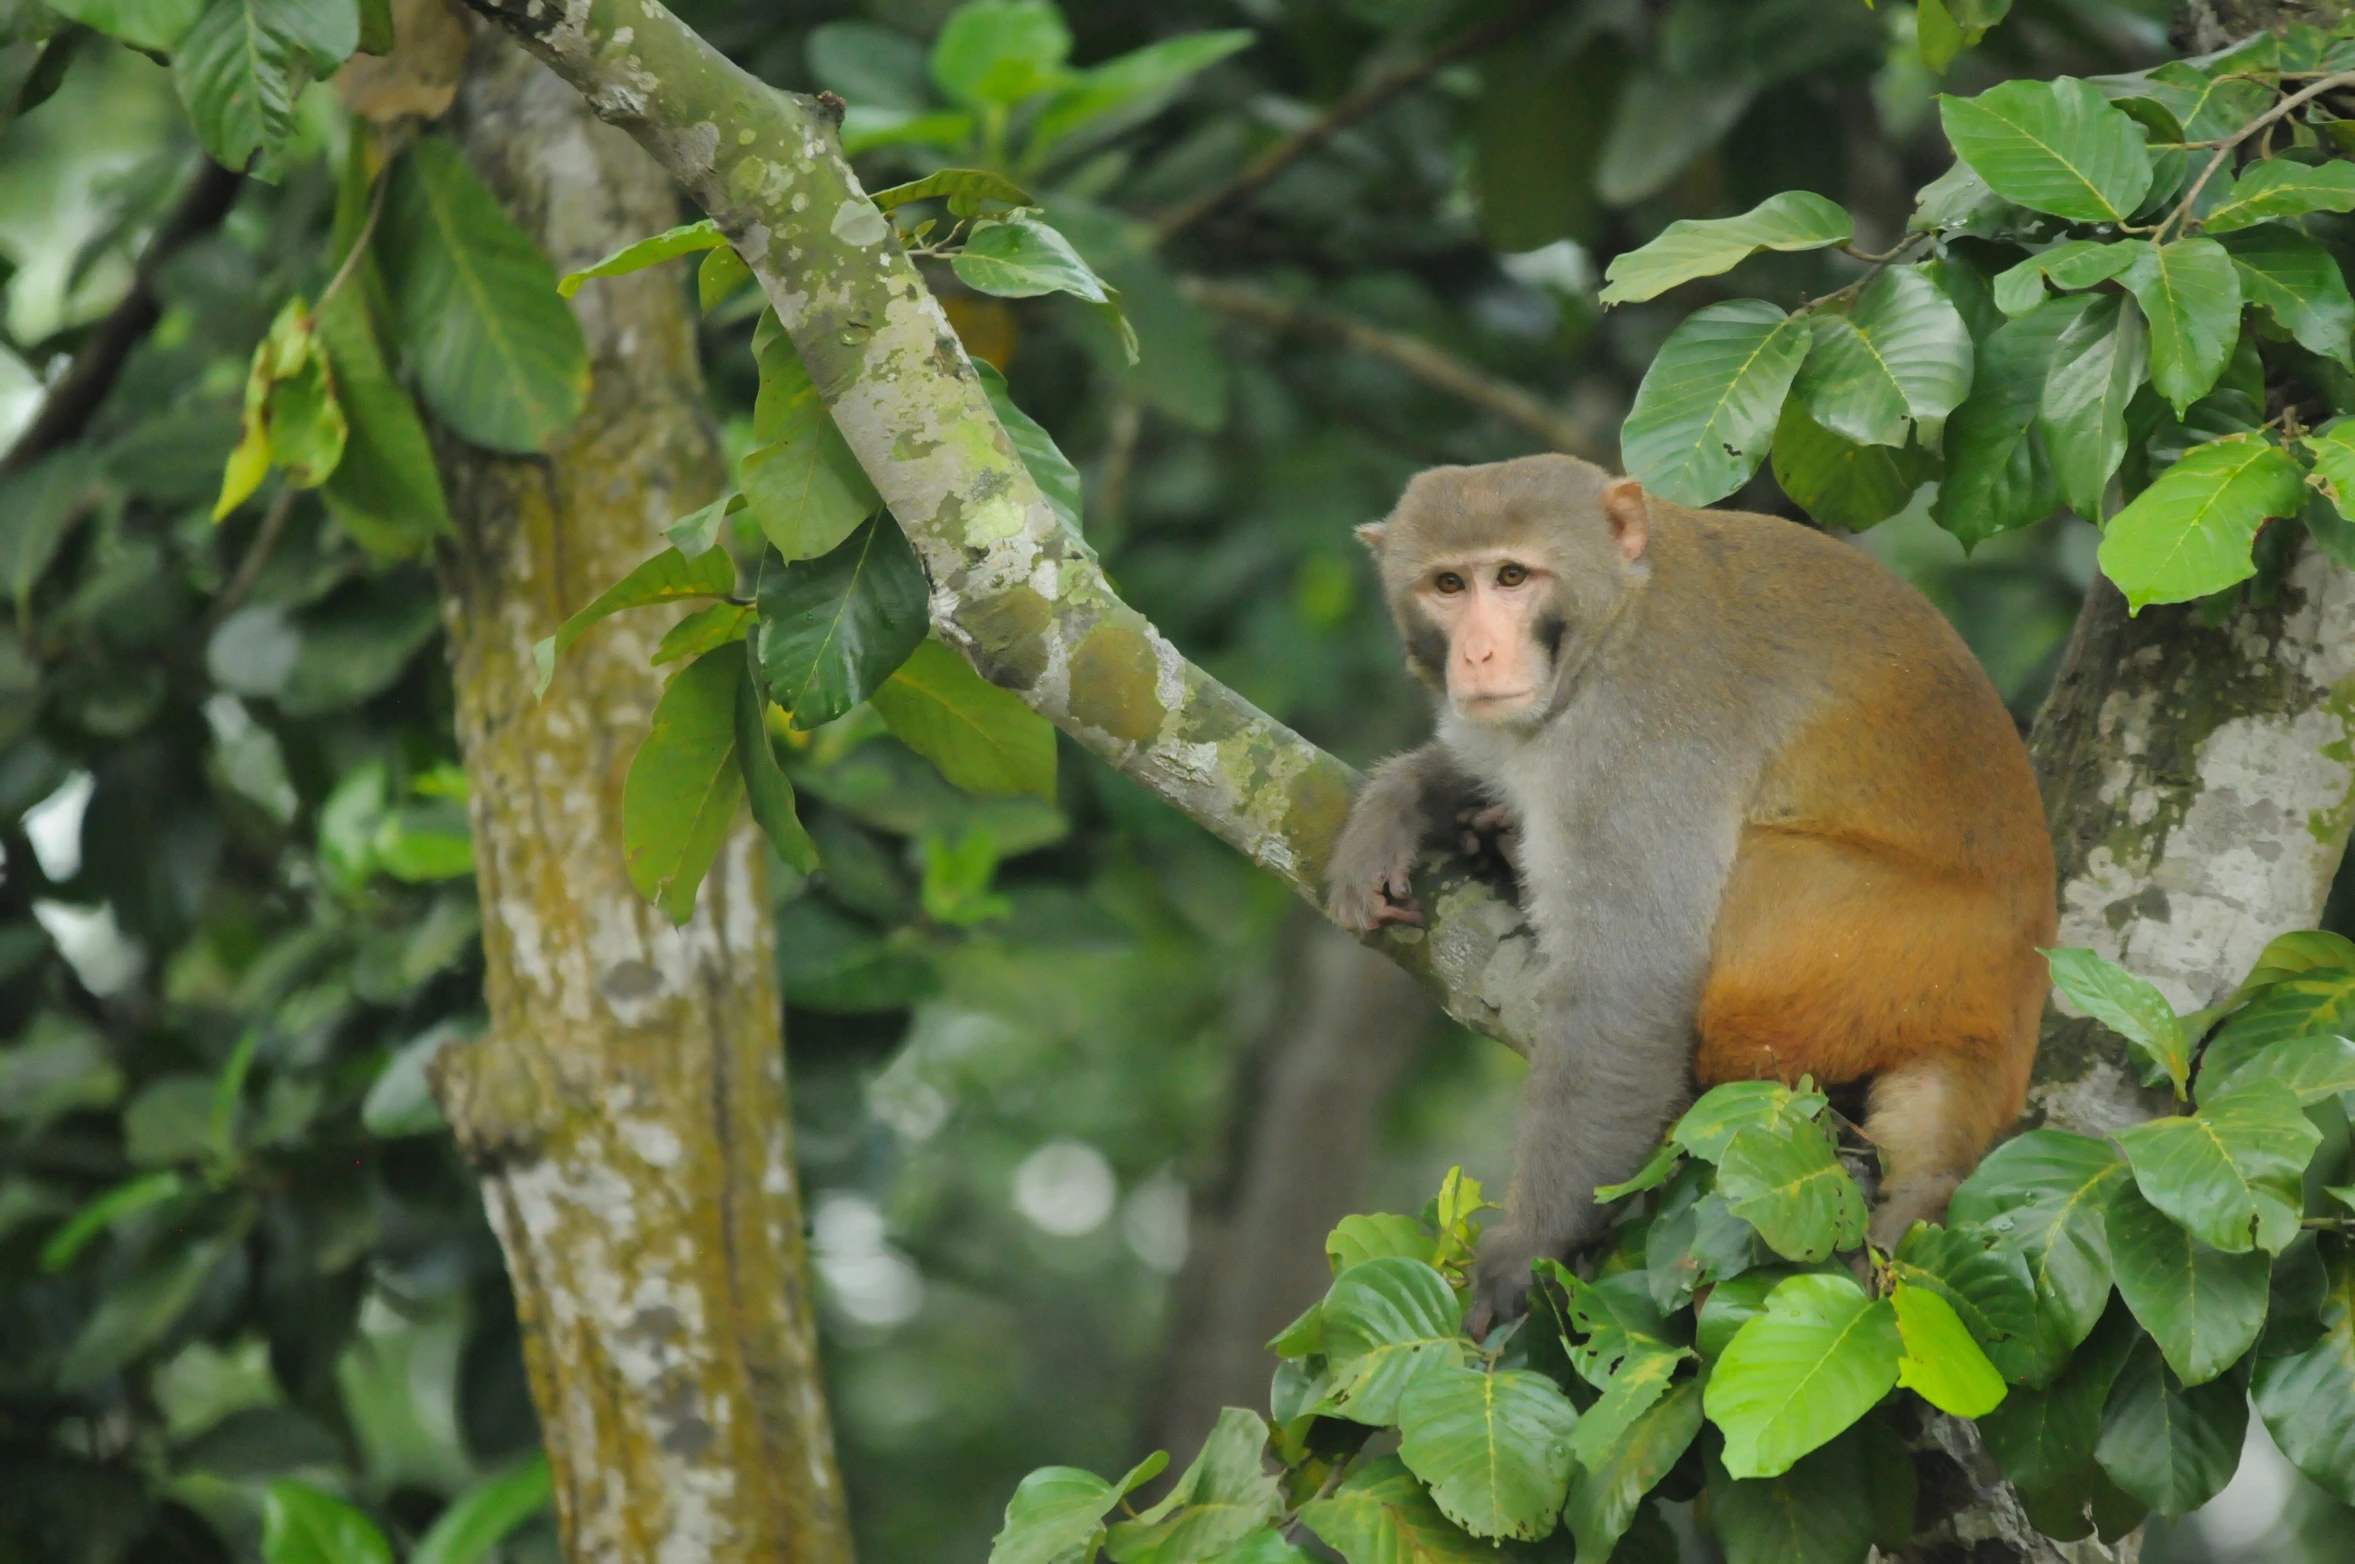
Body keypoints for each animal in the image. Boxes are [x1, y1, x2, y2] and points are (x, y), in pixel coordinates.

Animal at [1328, 452, 2062, 1328]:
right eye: (1446, 584)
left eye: (1510, 576)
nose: (1475, 655)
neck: (1612, 616)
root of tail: (2010, 1009)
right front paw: (1402, 806)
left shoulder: (1635, 730)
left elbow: (1630, 987)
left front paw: (1526, 1249)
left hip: (1868, 947)